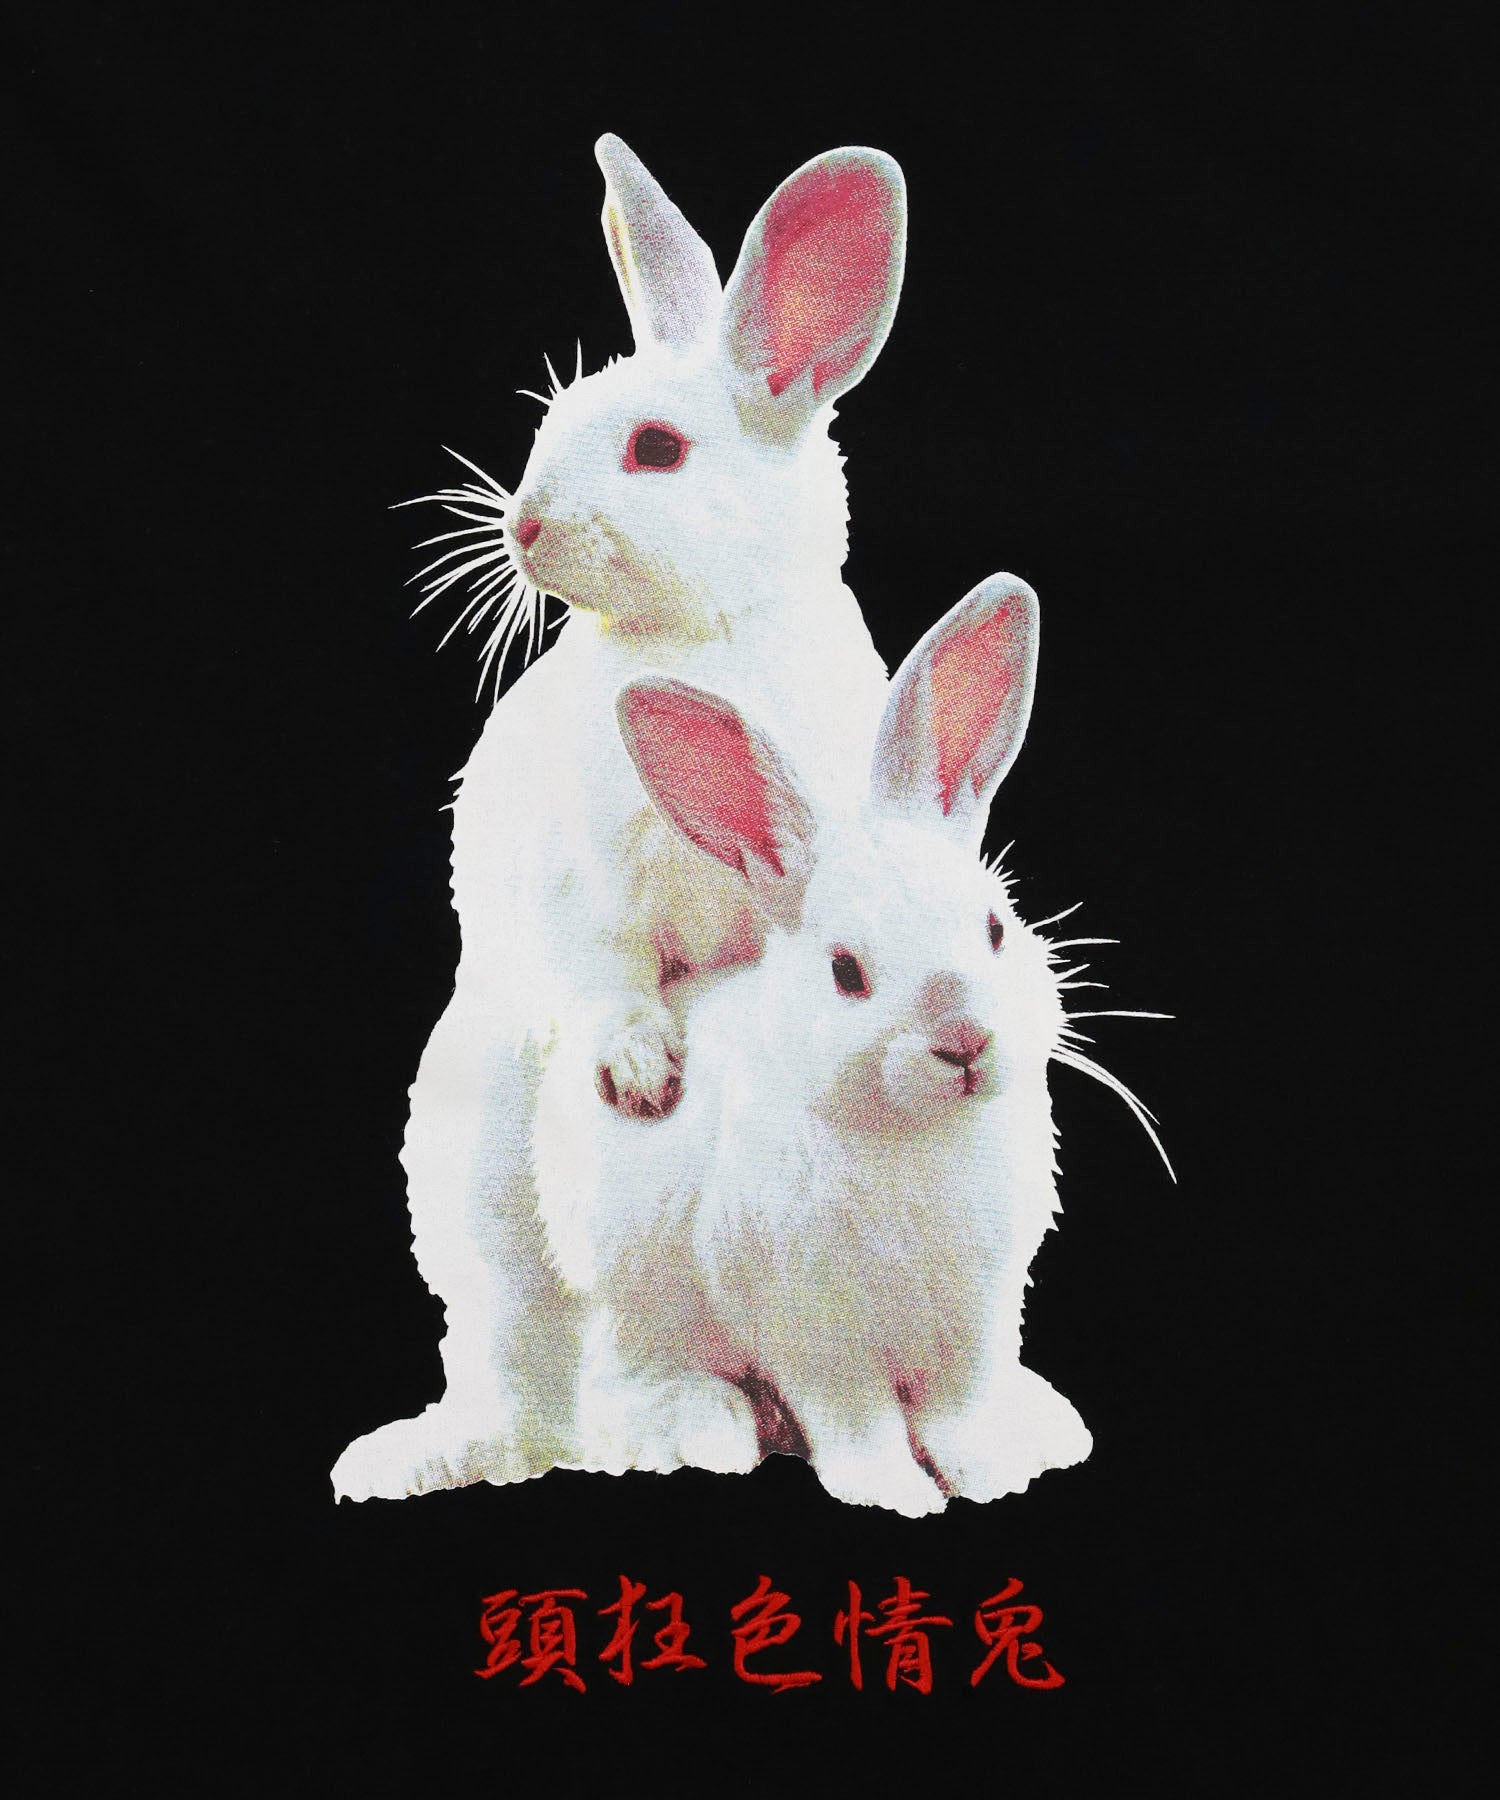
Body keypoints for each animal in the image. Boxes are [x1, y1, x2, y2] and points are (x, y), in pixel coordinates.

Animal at [332, 134, 908, 1501]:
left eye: (655, 448)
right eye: (549, 427)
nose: (524, 524)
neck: (705, 638)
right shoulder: (582, 891)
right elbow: (606, 972)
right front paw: (641, 1072)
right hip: (485, 1198)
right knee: (538, 1362)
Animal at [530, 574, 1099, 1518]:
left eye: (994, 928)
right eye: (845, 972)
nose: (963, 1041)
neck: (912, 1135)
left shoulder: (974, 1318)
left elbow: (961, 1407)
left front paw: (1000, 1469)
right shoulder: (812, 1332)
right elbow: (856, 1420)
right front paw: (895, 1496)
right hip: (632, 1306)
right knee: (622, 1386)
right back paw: (696, 1429)